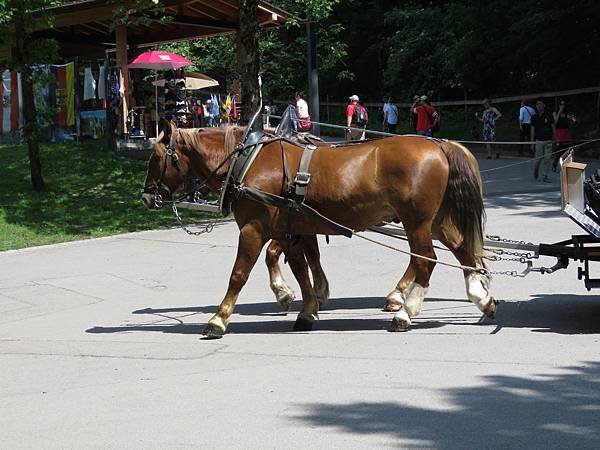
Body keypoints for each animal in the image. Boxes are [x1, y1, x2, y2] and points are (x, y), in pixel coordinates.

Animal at [142, 125, 496, 336]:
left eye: (156, 158)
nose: (146, 197)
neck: (248, 161)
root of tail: (439, 144)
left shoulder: (254, 229)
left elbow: (239, 274)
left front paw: (219, 318)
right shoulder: (291, 230)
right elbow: (302, 269)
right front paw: (306, 307)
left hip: (417, 220)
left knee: (425, 260)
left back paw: (406, 312)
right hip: (437, 220)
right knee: (463, 250)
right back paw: (481, 297)